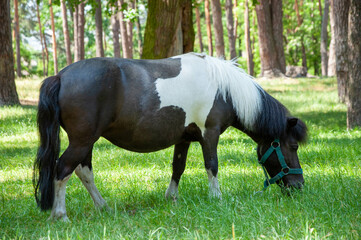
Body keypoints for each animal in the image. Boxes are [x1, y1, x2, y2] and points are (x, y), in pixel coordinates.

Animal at [33, 53, 306, 221]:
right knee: (63, 169)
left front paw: (171, 198)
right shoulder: (209, 133)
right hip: (82, 141)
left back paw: (103, 207)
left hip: (86, 141)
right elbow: (212, 166)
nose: (298, 187)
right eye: (293, 146)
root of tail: (60, 76)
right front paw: (216, 198)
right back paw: (60, 215)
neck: (223, 88)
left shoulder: (184, 138)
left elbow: (178, 166)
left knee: (83, 171)